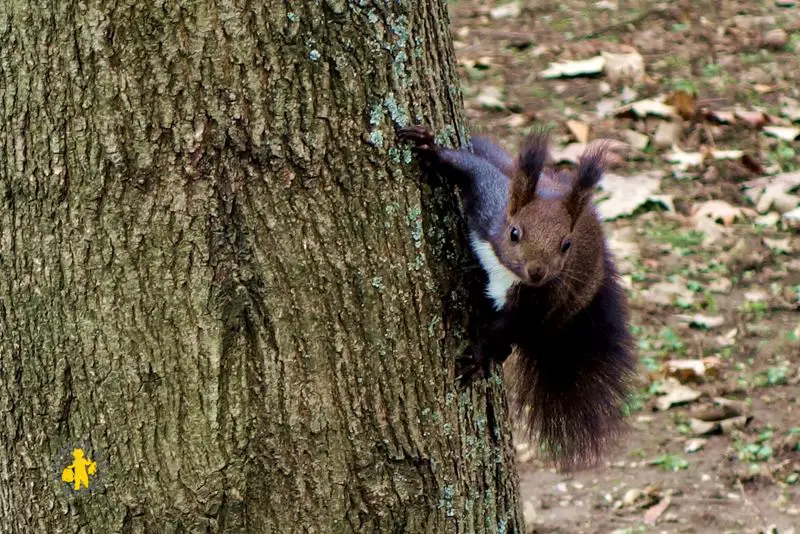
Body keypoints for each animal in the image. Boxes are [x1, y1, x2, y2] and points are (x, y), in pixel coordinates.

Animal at [398, 126, 636, 474]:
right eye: (514, 233)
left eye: (566, 244)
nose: (537, 272)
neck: (508, 273)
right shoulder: (491, 203)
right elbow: (473, 170)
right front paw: (430, 147)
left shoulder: (540, 302)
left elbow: (506, 330)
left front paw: (480, 357)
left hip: (562, 310)